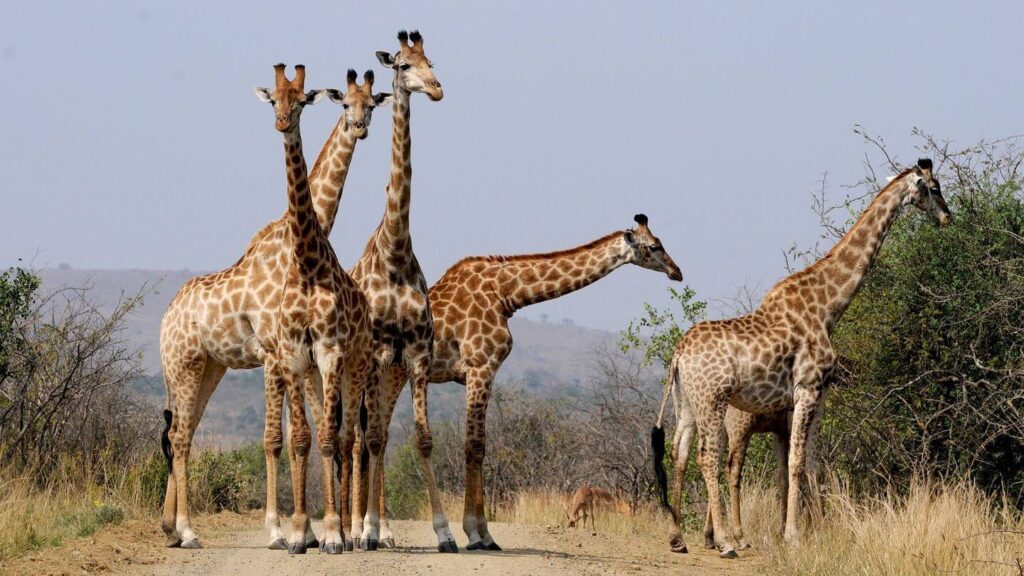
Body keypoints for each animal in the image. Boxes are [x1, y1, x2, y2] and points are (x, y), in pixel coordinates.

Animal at [158, 64, 377, 553]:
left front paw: (308, 532)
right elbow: (277, 439)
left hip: (208, 367)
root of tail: (165, 318)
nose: (360, 127)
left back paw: (171, 528)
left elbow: (298, 434)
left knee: (183, 431)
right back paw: (187, 530)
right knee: (179, 434)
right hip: (183, 364)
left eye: (372, 104)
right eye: (344, 104)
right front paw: (283, 531)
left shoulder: (293, 355)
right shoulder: (275, 353)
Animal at [417, 214, 683, 550]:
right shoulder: (480, 368)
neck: (505, 294)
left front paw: (484, 534)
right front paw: (478, 535)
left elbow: (480, 446)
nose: (677, 272)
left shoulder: (480, 373)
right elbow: (474, 447)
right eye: (654, 246)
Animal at [654, 159, 950, 558]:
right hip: (713, 399)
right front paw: (793, 535)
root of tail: (679, 353)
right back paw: (727, 541)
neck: (828, 307)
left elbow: (811, 463)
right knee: (710, 457)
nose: (947, 216)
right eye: (933, 188)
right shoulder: (808, 387)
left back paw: (678, 537)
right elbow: (795, 462)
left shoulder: (815, 395)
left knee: (680, 452)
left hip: (686, 402)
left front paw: (814, 531)